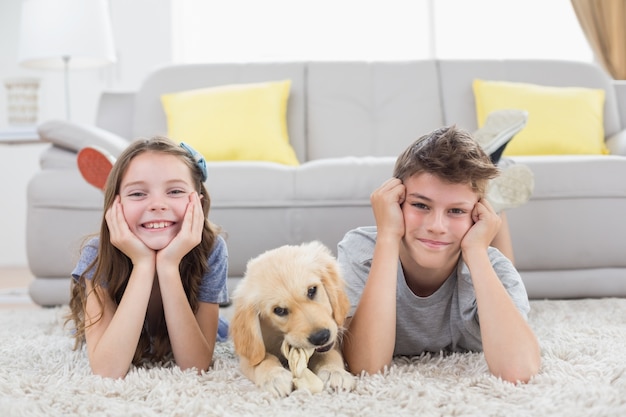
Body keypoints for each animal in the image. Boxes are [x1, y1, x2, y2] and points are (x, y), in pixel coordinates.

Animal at [230, 240, 356, 396]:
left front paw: (334, 372)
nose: (321, 337)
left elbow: (329, 354)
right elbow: (263, 359)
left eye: (312, 290)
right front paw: (274, 376)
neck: (277, 335)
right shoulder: (249, 354)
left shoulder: (332, 341)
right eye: (279, 310)